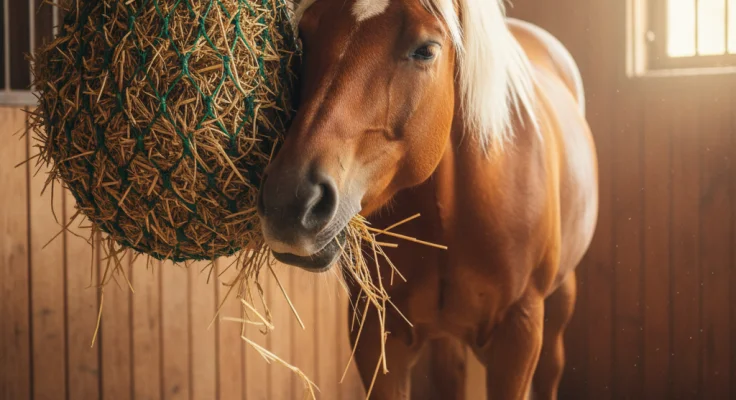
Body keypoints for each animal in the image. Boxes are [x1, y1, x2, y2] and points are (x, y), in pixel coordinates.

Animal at [256, 0, 598, 398]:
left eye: (426, 50)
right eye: (305, 36)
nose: (288, 202)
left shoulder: (518, 336)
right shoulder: (376, 334)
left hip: (559, 301)